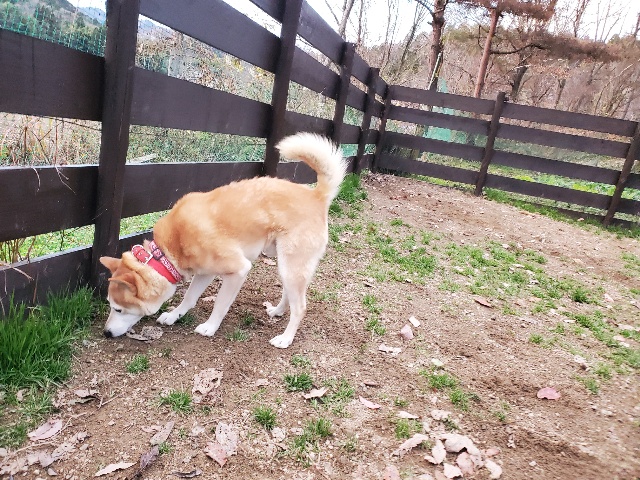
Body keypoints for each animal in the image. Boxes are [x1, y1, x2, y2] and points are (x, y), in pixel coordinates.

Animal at [99, 132, 347, 348]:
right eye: (110, 306)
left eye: (118, 309)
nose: (106, 333)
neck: (167, 252)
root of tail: (316, 196)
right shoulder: (204, 273)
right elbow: (189, 298)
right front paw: (173, 316)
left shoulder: (237, 270)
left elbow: (220, 304)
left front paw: (210, 327)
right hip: (284, 264)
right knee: (289, 294)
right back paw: (277, 311)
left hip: (291, 266)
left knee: (300, 307)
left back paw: (285, 338)